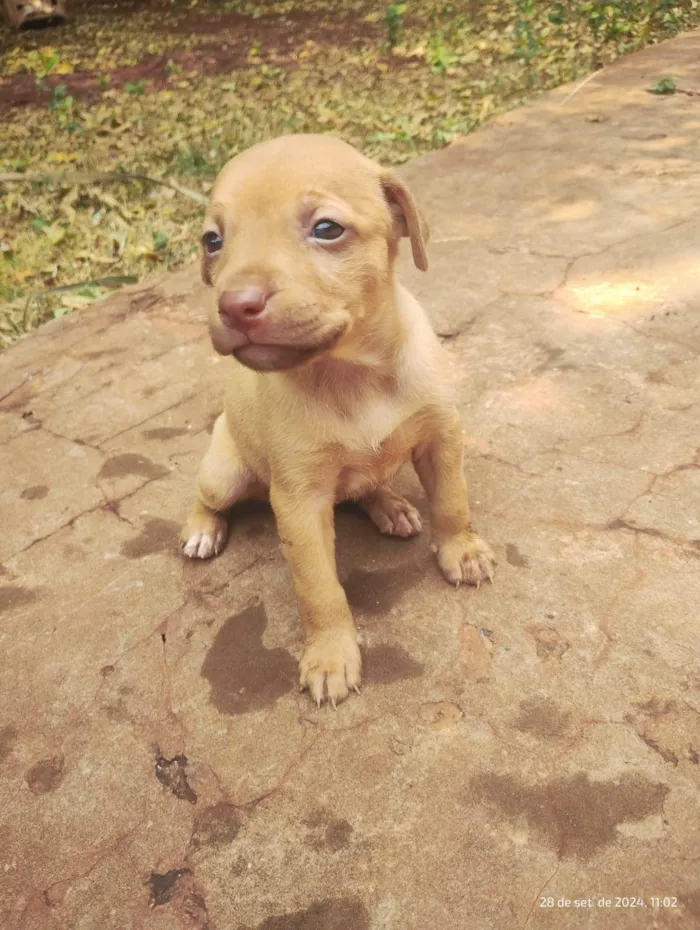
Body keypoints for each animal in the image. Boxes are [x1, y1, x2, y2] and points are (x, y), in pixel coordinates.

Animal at [183, 134, 494, 704]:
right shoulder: (299, 503)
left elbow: (452, 502)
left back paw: (390, 506)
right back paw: (201, 529)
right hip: (224, 472)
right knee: (206, 495)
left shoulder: (441, 438)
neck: (352, 376)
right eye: (213, 240)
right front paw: (331, 656)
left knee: (366, 485)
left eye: (327, 229)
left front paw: (461, 552)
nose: (234, 306)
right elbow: (319, 588)